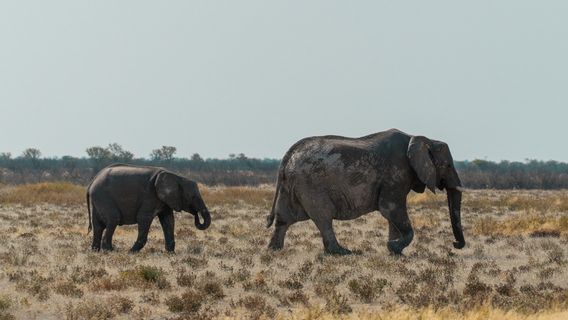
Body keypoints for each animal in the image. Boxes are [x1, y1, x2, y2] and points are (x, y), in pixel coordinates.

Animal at [264, 129, 464, 256]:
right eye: (447, 165)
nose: (455, 245)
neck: (420, 138)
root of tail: (289, 154)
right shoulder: (395, 174)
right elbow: (390, 209)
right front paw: (393, 247)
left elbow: (392, 216)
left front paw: (395, 252)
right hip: (310, 185)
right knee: (323, 218)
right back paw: (343, 253)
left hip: (291, 185)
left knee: (284, 218)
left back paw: (274, 250)